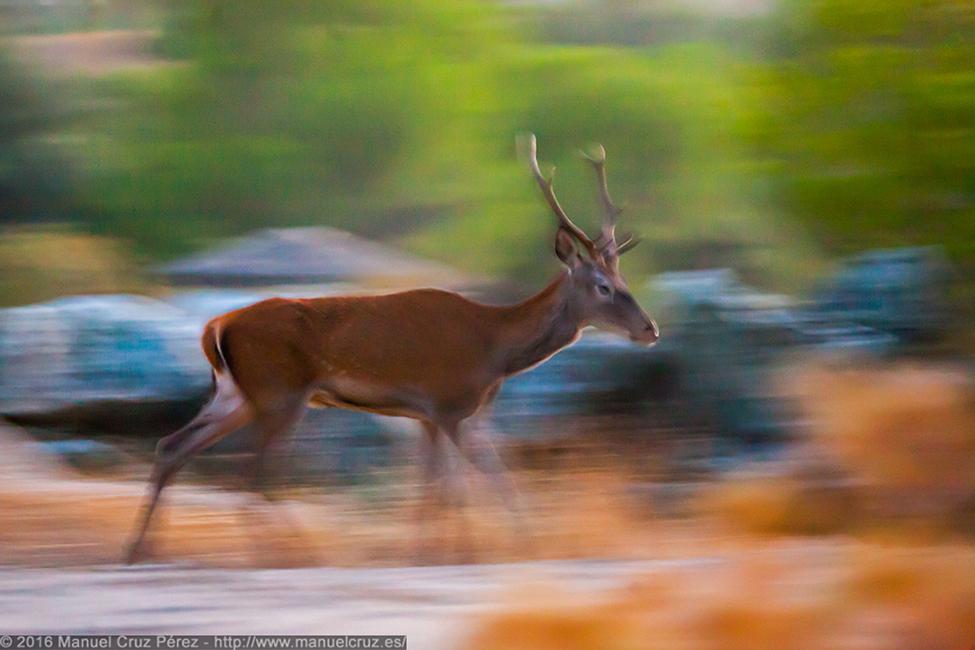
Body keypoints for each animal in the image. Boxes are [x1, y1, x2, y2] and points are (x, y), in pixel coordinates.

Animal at [122, 133, 656, 560]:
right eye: (604, 287)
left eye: (624, 278)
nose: (650, 329)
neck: (495, 350)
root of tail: (215, 325)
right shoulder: (449, 405)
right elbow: (477, 486)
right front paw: (497, 548)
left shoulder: (429, 416)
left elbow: (439, 489)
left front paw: (432, 549)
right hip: (279, 393)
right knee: (254, 476)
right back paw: (293, 552)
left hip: (236, 394)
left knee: (173, 447)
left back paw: (140, 549)